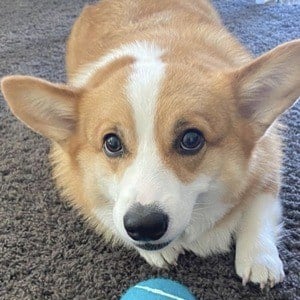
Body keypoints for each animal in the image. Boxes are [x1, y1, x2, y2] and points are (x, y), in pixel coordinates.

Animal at [1, 0, 298, 288]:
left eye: (191, 139)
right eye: (112, 143)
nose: (144, 226)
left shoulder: (268, 165)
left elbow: (258, 208)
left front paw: (259, 259)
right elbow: (111, 215)